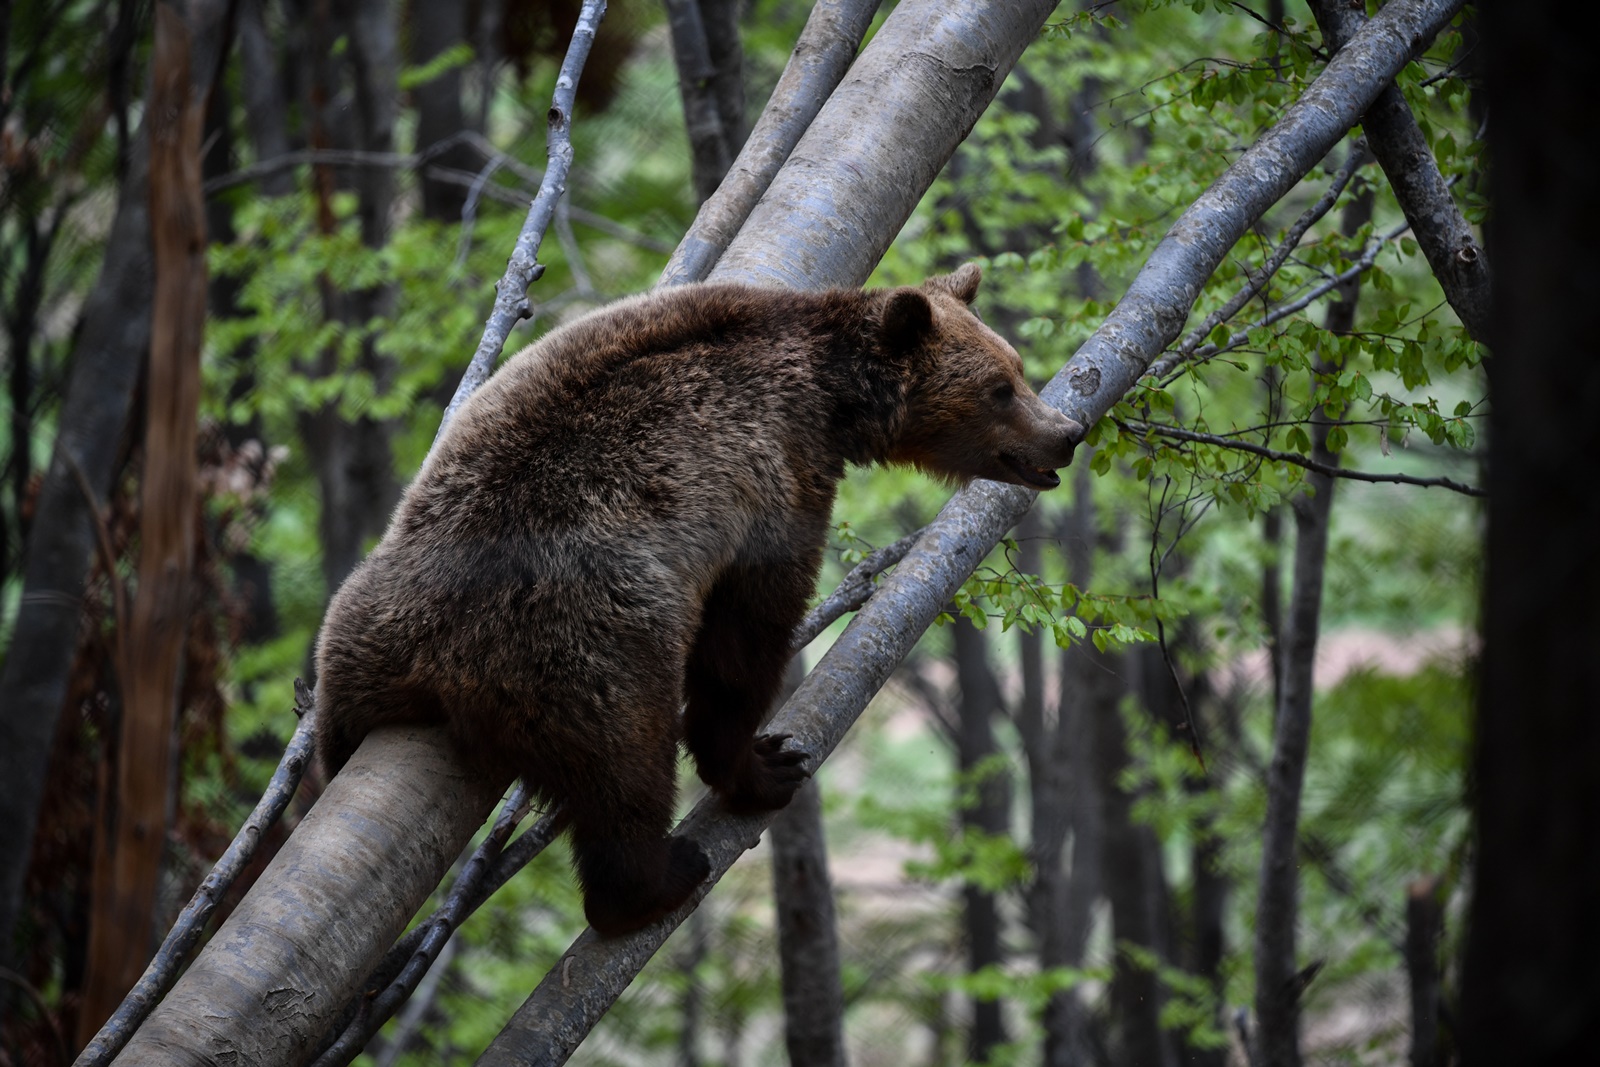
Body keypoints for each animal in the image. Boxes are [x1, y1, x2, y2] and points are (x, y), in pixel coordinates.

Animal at [315, 265, 1075, 934]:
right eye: (1000, 387)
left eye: (1017, 367)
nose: (1066, 433)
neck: (834, 399)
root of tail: (431, 654)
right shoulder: (774, 474)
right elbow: (748, 634)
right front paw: (763, 762)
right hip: (581, 643)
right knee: (626, 764)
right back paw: (658, 875)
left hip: (357, 635)